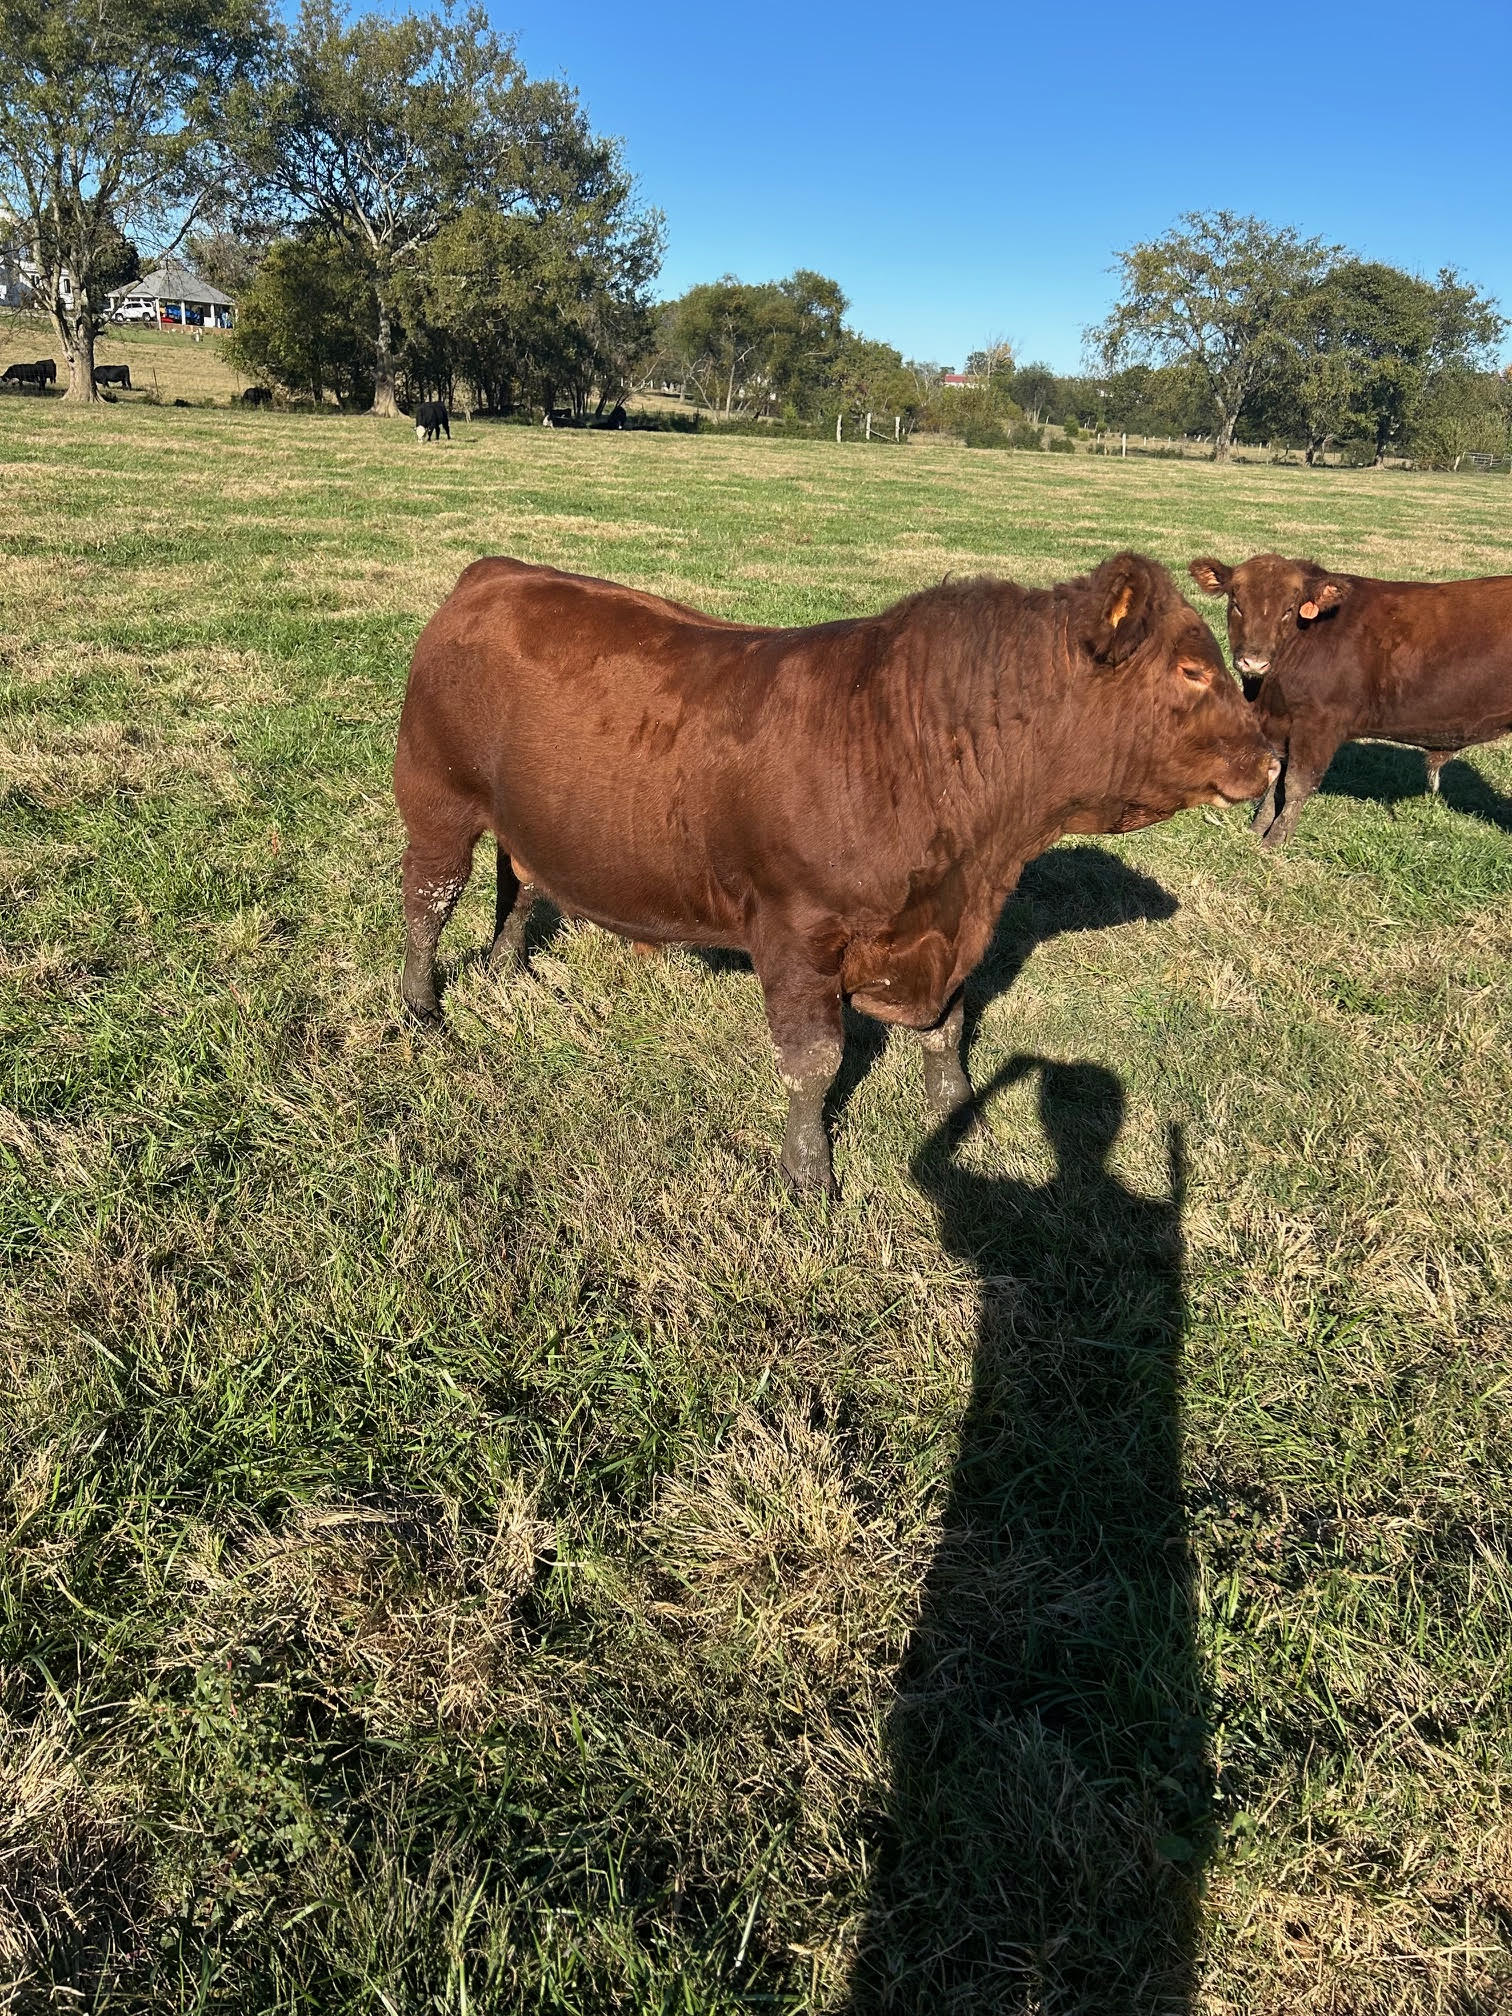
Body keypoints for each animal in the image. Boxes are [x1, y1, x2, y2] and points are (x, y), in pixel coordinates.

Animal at [394, 553, 1277, 1194]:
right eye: (1192, 672)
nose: (1270, 758)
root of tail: (497, 573)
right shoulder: (796, 933)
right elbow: (813, 1061)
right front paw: (807, 1173)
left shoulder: (945, 929)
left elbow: (948, 1029)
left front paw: (964, 1120)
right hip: (437, 803)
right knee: (428, 905)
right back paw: (422, 1011)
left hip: (523, 821)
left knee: (518, 887)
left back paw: (506, 972)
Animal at [1190, 553, 1512, 847]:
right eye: (1237, 604)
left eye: (1288, 609)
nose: (1253, 662)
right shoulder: (1282, 724)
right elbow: (1275, 781)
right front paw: (1256, 831)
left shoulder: (1319, 724)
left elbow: (1296, 784)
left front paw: (1275, 841)